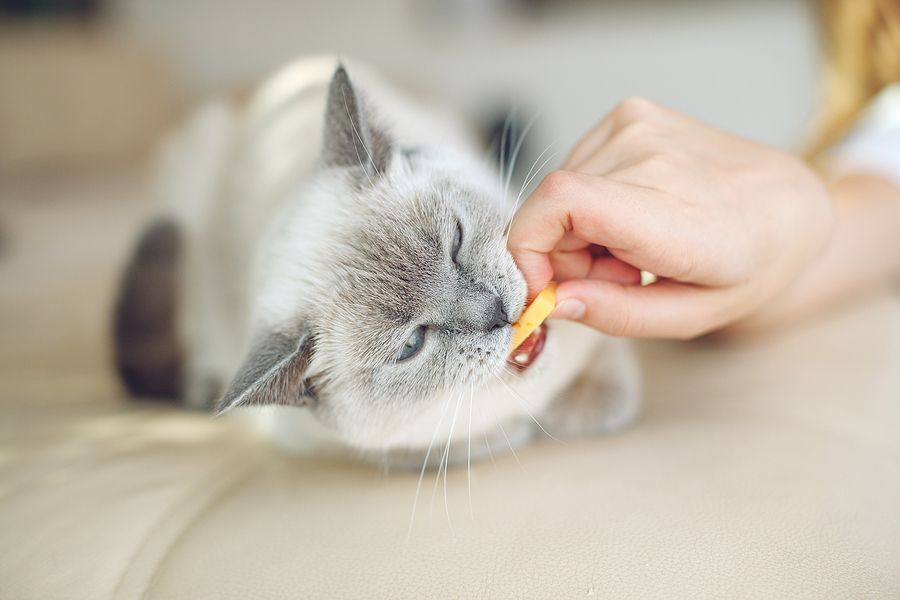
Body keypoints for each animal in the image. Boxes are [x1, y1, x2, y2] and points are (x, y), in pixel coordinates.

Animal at [114, 55, 640, 468]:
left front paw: (588, 406)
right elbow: (444, 447)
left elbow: (607, 367)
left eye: (455, 240)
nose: (496, 312)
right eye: (412, 344)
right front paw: (515, 430)